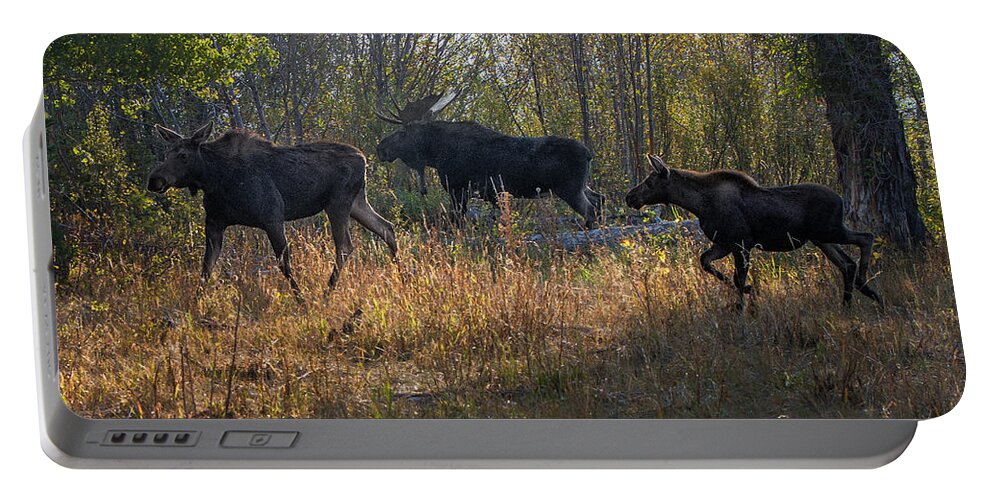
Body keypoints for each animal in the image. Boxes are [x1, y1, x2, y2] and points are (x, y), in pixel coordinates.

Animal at [149, 122, 398, 292]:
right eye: (166, 153)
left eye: (183, 155)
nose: (154, 180)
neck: (215, 180)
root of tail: (364, 160)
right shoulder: (214, 224)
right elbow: (205, 269)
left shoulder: (272, 217)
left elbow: (284, 264)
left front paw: (302, 300)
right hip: (357, 202)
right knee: (387, 227)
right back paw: (401, 272)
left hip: (338, 203)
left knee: (346, 246)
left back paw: (327, 292)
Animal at [374, 92, 600, 229]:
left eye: (403, 133)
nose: (380, 148)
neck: (435, 154)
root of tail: (588, 153)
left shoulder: (458, 188)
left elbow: (457, 220)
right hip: (582, 185)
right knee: (600, 200)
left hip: (569, 189)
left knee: (590, 210)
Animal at [628, 154, 884, 308]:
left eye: (649, 182)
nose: (629, 196)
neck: (699, 205)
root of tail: (841, 199)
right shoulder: (724, 244)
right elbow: (706, 262)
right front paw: (747, 292)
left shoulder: (741, 244)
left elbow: (737, 278)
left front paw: (742, 304)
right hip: (821, 239)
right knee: (847, 263)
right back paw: (854, 300)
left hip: (830, 231)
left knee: (866, 238)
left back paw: (866, 288)